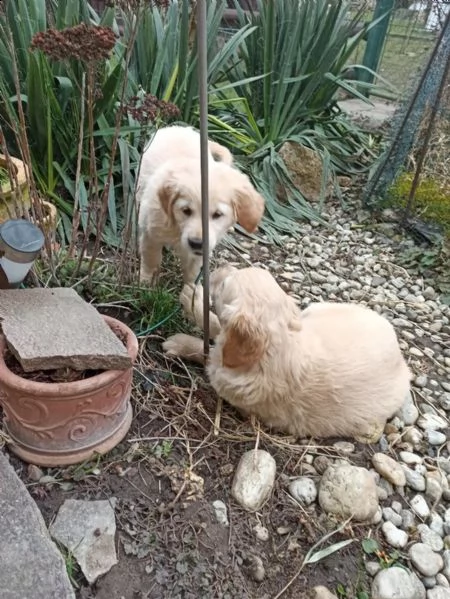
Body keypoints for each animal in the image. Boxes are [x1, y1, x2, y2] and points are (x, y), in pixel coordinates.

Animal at [135, 125, 266, 284]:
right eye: (186, 210)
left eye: (217, 214)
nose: (196, 243)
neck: (177, 229)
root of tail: (179, 127)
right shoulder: (151, 234)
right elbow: (151, 260)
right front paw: (144, 283)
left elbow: (192, 272)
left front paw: (192, 289)